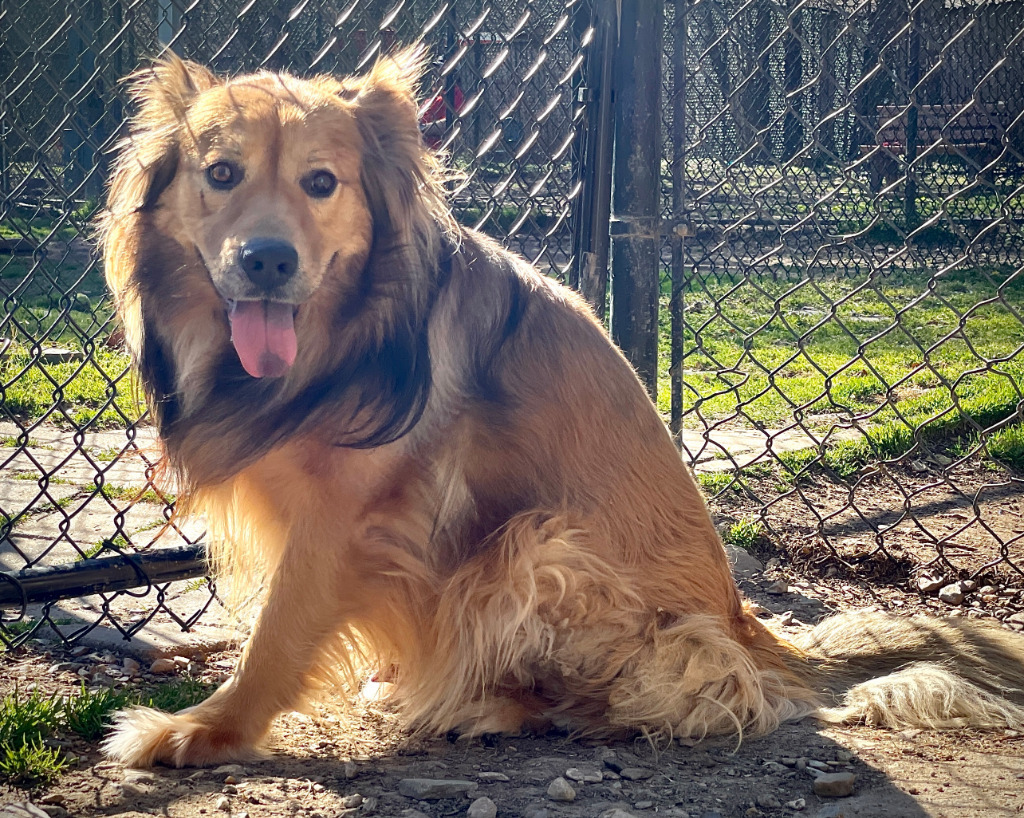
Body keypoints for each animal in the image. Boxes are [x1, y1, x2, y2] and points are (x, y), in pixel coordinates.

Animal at [97, 49, 1024, 769]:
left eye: (320, 183)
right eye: (221, 174)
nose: (267, 259)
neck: (345, 329)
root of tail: (750, 629)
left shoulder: (349, 518)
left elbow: (277, 636)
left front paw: (202, 731)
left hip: (535, 547)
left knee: (672, 698)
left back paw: (483, 705)